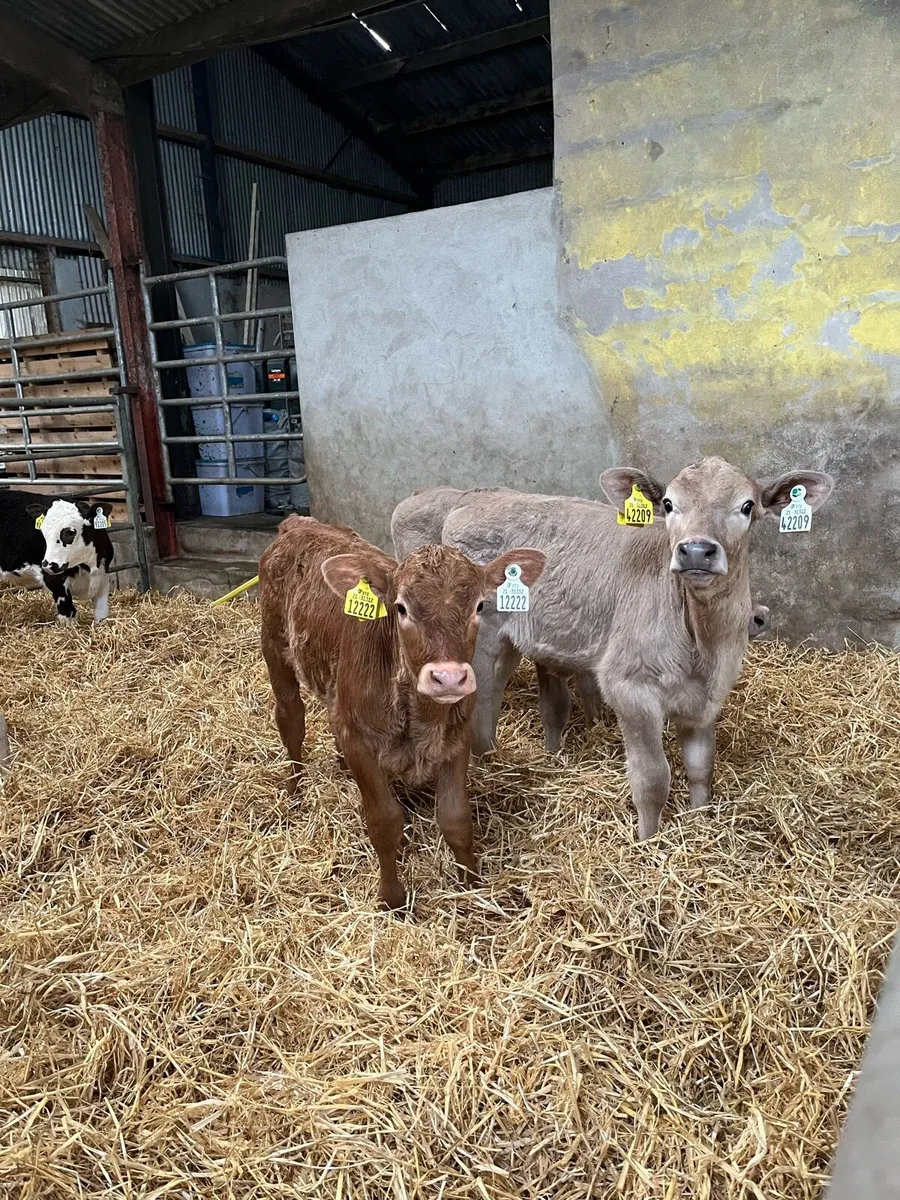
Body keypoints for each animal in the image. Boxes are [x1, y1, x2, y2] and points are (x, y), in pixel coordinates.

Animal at [0, 489, 114, 622]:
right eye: (43, 532)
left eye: (70, 532)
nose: (48, 565)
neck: (88, 565)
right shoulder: (56, 584)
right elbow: (69, 614)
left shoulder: (102, 578)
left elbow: (102, 615)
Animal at [258, 515, 545, 910]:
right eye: (401, 608)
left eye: (479, 607)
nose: (448, 677)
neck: (419, 717)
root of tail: (298, 523)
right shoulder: (360, 741)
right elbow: (384, 821)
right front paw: (391, 898)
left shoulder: (458, 736)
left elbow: (456, 818)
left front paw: (471, 884)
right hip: (274, 646)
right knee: (290, 719)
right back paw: (296, 791)